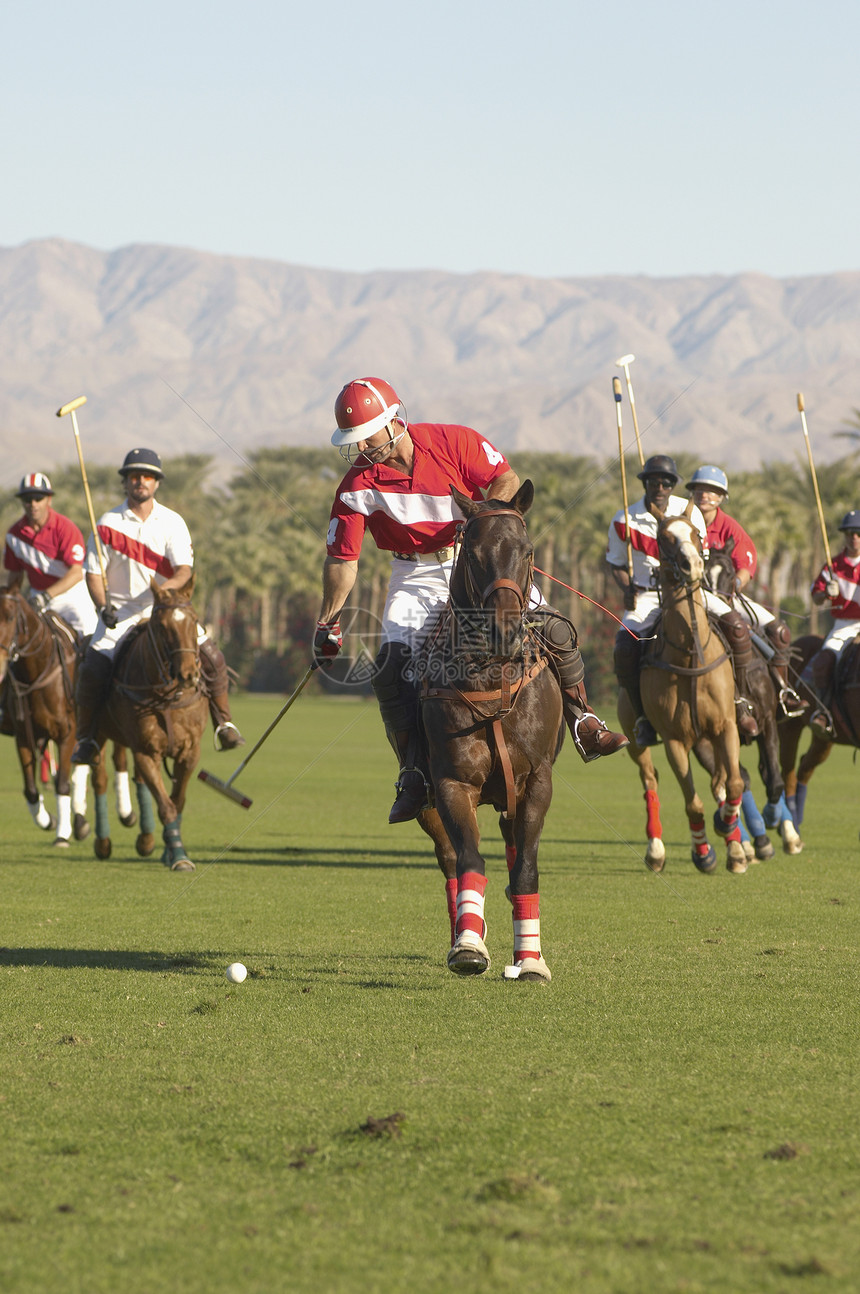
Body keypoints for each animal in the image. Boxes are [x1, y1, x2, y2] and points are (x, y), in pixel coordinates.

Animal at [416, 483, 563, 978]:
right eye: (474, 554)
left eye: (528, 550)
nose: (504, 632)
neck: (492, 677)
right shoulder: (451, 782)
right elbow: (469, 861)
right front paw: (467, 947)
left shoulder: (536, 782)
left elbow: (526, 869)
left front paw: (531, 960)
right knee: (448, 862)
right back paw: (467, 931)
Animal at [612, 504, 750, 869]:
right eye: (662, 538)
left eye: (697, 533)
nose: (693, 566)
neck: (691, 653)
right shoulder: (675, 739)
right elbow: (693, 802)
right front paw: (703, 853)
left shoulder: (725, 727)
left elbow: (733, 783)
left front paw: (730, 836)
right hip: (634, 738)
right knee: (650, 779)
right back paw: (656, 850)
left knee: (720, 780)